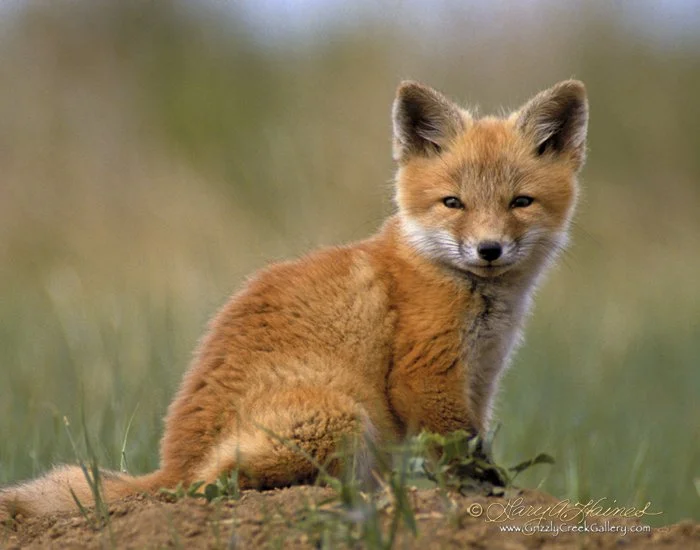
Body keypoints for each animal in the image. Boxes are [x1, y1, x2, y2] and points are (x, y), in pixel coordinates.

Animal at [0, 79, 588, 521]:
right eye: (453, 203)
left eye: (520, 202)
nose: (489, 250)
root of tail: (172, 464)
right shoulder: (425, 372)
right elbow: (461, 451)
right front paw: (487, 492)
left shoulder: (481, 377)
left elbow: (469, 443)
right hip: (342, 415)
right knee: (220, 483)